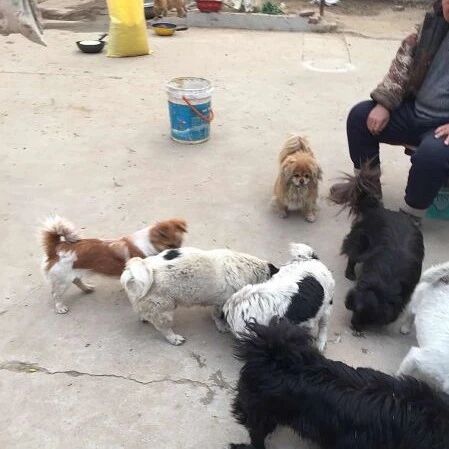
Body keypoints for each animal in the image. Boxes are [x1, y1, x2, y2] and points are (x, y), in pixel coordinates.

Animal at [40, 215, 187, 314]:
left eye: (179, 243)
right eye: (170, 245)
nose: (177, 253)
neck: (148, 243)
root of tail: (56, 247)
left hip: (72, 273)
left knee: (76, 280)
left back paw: (87, 288)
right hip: (62, 280)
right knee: (56, 294)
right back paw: (60, 307)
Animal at [120, 247, 278, 345]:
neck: (248, 268)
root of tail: (132, 272)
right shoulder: (220, 303)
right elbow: (218, 317)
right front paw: (221, 326)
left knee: (142, 312)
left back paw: (144, 317)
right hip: (164, 309)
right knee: (164, 328)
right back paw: (174, 338)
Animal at [329, 164, 424, 331]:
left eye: (369, 317)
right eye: (353, 310)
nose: (354, 326)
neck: (383, 283)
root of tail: (377, 208)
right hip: (361, 241)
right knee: (352, 255)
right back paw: (350, 273)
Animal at [398, 262, 449, 394]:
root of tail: (444, 281)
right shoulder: (417, 358)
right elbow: (400, 375)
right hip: (415, 302)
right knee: (410, 314)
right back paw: (406, 327)